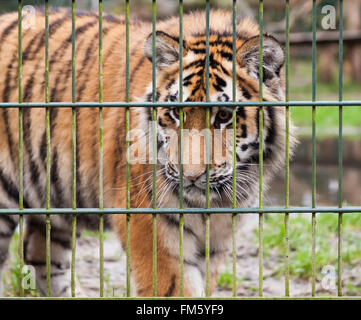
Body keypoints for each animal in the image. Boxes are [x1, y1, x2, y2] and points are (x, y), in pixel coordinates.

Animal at [0, 8, 296, 298]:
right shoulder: (151, 227)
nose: (191, 176)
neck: (214, 203)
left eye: (224, 116)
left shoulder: (217, 240)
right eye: (176, 113)